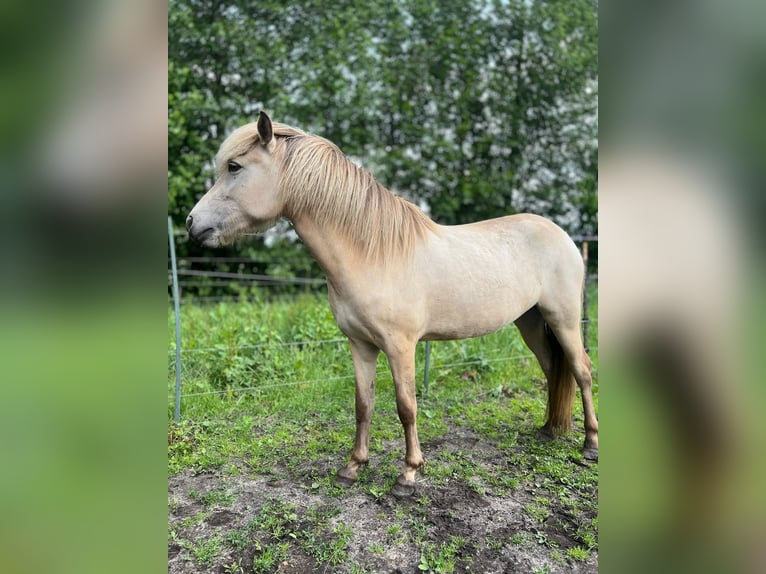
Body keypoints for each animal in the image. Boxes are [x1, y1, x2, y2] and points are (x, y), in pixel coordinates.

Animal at [186, 111, 598, 497]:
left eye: (234, 167)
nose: (192, 224)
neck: (373, 255)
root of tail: (562, 236)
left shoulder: (401, 347)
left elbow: (406, 406)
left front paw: (409, 474)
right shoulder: (360, 344)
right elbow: (363, 404)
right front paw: (353, 467)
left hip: (563, 319)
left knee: (581, 370)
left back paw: (589, 444)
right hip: (530, 323)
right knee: (552, 370)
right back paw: (549, 429)